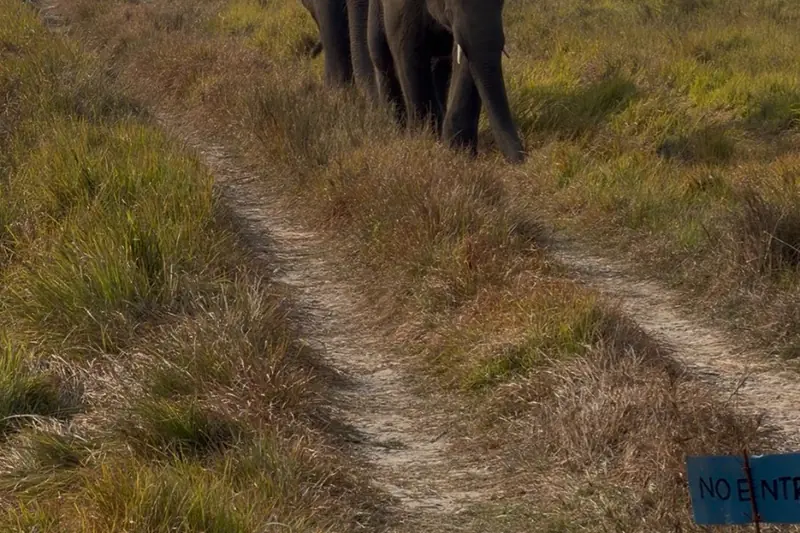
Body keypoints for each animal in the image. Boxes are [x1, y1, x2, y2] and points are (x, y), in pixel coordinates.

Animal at [368, 0, 525, 163]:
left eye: (502, 2)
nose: (522, 159)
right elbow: (408, 50)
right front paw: (423, 141)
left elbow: (463, 57)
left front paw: (459, 151)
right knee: (381, 58)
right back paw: (398, 128)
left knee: (440, 66)